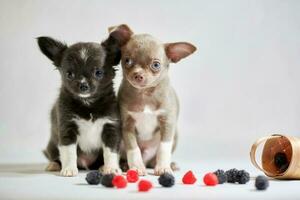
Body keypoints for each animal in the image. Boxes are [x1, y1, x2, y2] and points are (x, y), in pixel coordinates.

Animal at [37, 28, 126, 177]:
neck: (88, 104)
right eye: (69, 74)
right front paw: (69, 169)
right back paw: (54, 164)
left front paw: (112, 168)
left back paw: (102, 167)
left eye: (98, 73)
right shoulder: (67, 129)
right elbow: (69, 152)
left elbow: (110, 152)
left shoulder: (111, 128)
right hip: (52, 145)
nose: (83, 85)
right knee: (55, 155)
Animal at [111, 24, 196, 175]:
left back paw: (169, 164)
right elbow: (133, 149)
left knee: (153, 159)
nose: (138, 75)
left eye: (156, 65)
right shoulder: (127, 125)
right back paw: (125, 165)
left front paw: (163, 167)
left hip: (175, 135)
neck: (144, 94)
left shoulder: (167, 123)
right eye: (127, 61)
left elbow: (164, 148)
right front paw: (136, 166)